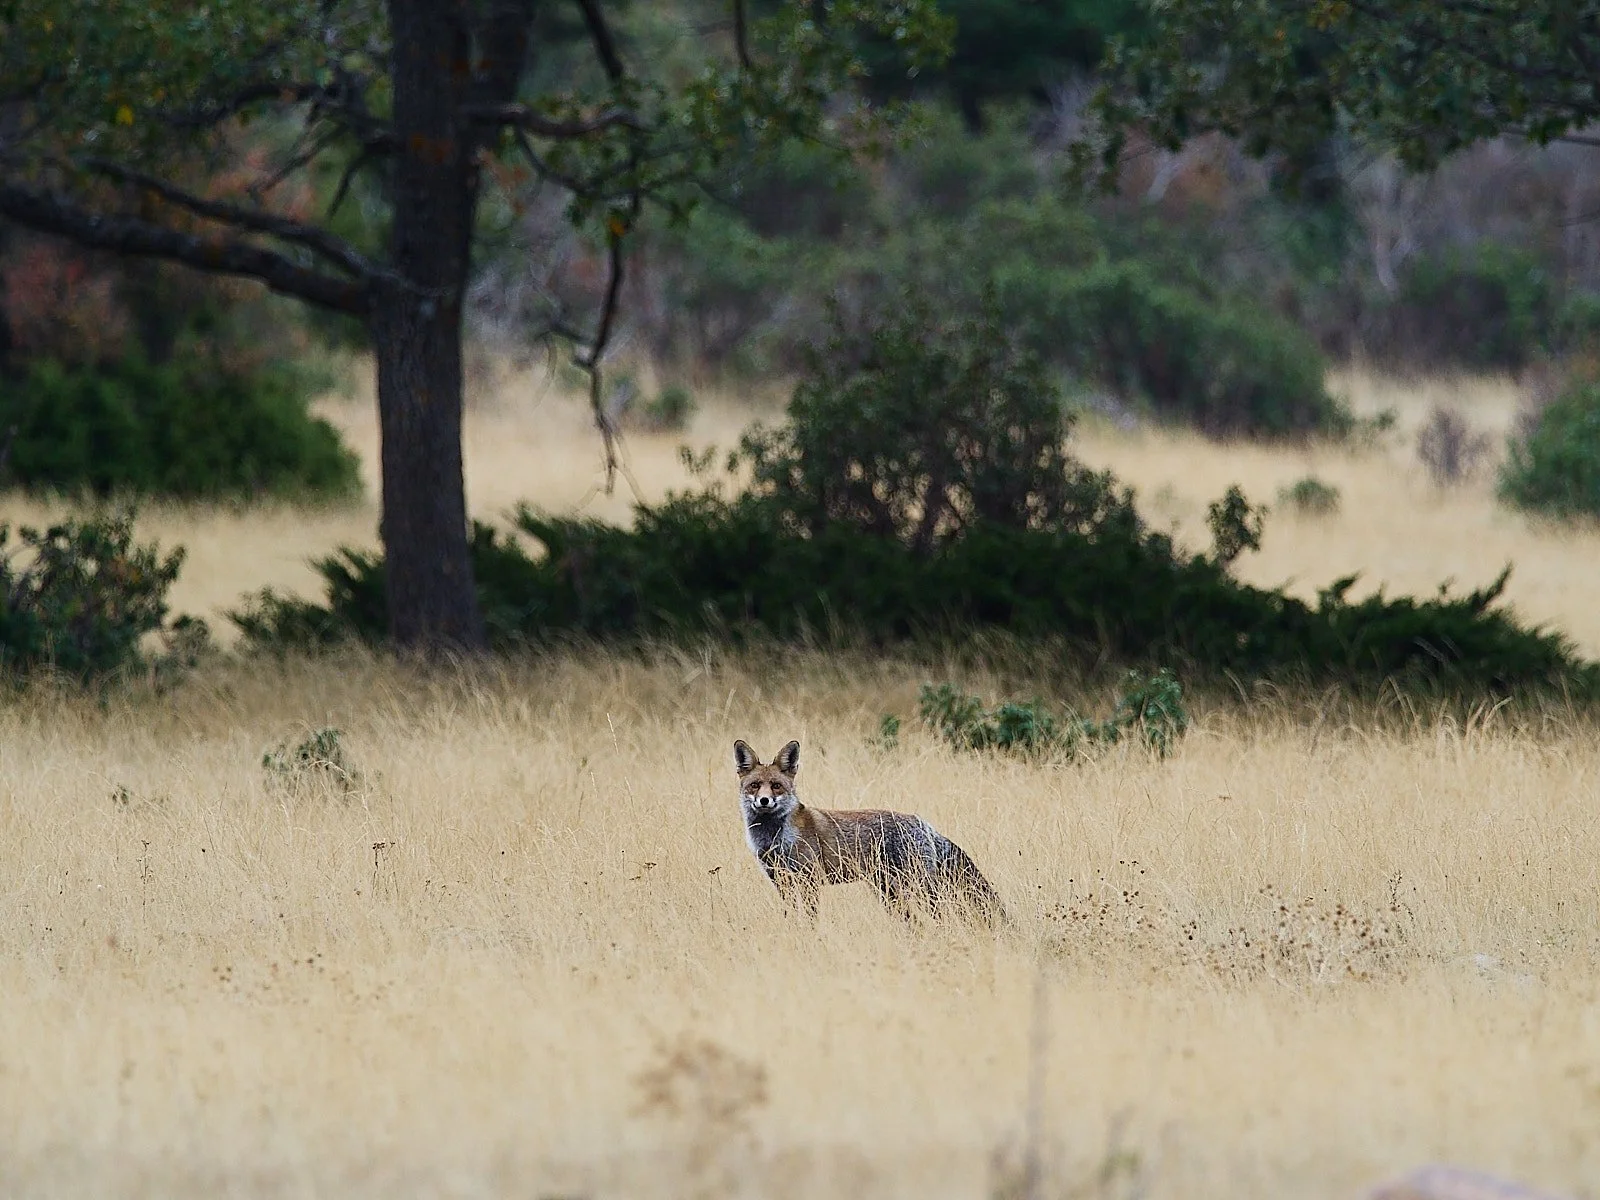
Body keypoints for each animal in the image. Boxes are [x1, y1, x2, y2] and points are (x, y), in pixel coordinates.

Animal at [733, 738, 1005, 925]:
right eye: (755, 785)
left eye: (776, 786)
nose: (764, 801)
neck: (774, 839)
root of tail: (925, 823)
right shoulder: (781, 882)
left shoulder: (810, 881)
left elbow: (810, 918)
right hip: (890, 893)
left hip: (920, 888)